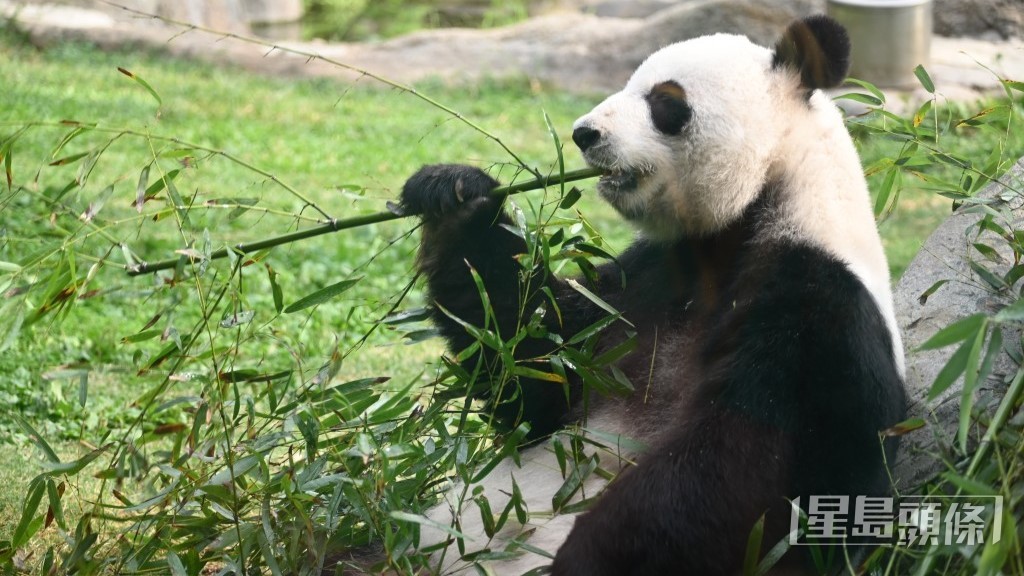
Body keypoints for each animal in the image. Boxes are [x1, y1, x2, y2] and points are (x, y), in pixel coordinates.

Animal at [391, 13, 905, 573]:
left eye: (665, 102)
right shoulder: (644, 283)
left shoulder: (814, 309)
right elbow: (536, 359)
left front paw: (582, 555)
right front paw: (456, 196)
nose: (584, 134)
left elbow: (738, 475)